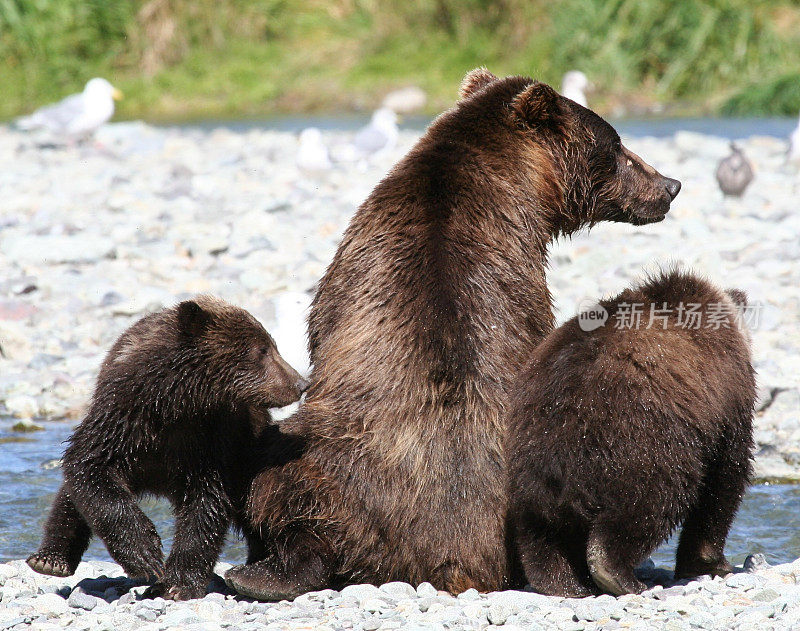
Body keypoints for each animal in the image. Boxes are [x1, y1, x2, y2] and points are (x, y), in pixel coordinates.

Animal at [227, 69, 680, 604]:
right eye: (619, 147)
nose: (671, 185)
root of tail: (452, 561)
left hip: (326, 457)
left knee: (274, 476)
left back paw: (258, 573)